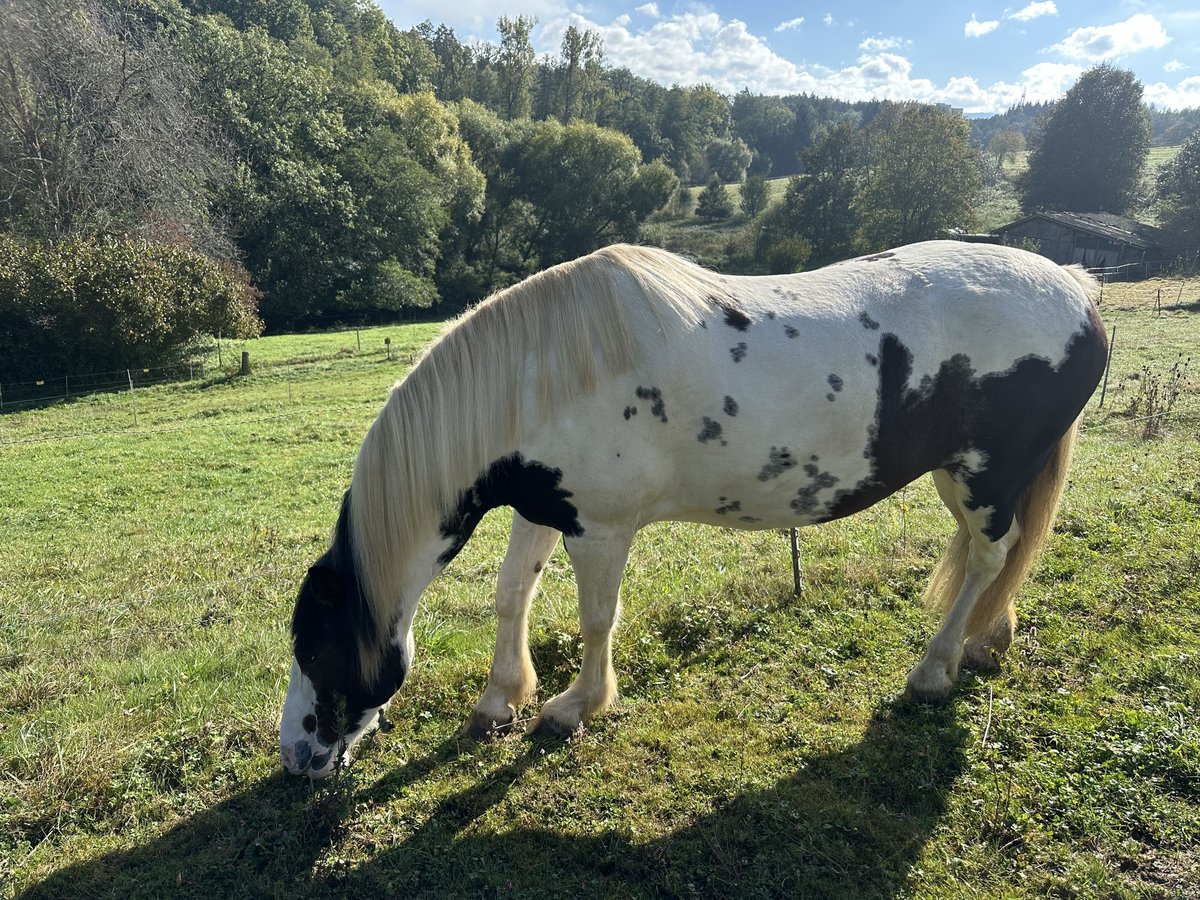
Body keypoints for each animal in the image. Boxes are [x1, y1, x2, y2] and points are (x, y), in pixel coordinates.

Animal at [278, 243, 1104, 777]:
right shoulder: (541, 509)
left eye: (316, 646)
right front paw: (498, 699)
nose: (293, 756)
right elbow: (512, 595)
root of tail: (1073, 287)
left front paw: (576, 707)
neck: (537, 378)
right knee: (999, 556)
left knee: (989, 556)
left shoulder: (600, 530)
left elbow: (595, 621)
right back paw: (985, 642)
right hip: (964, 477)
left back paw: (934, 670)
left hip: (984, 474)